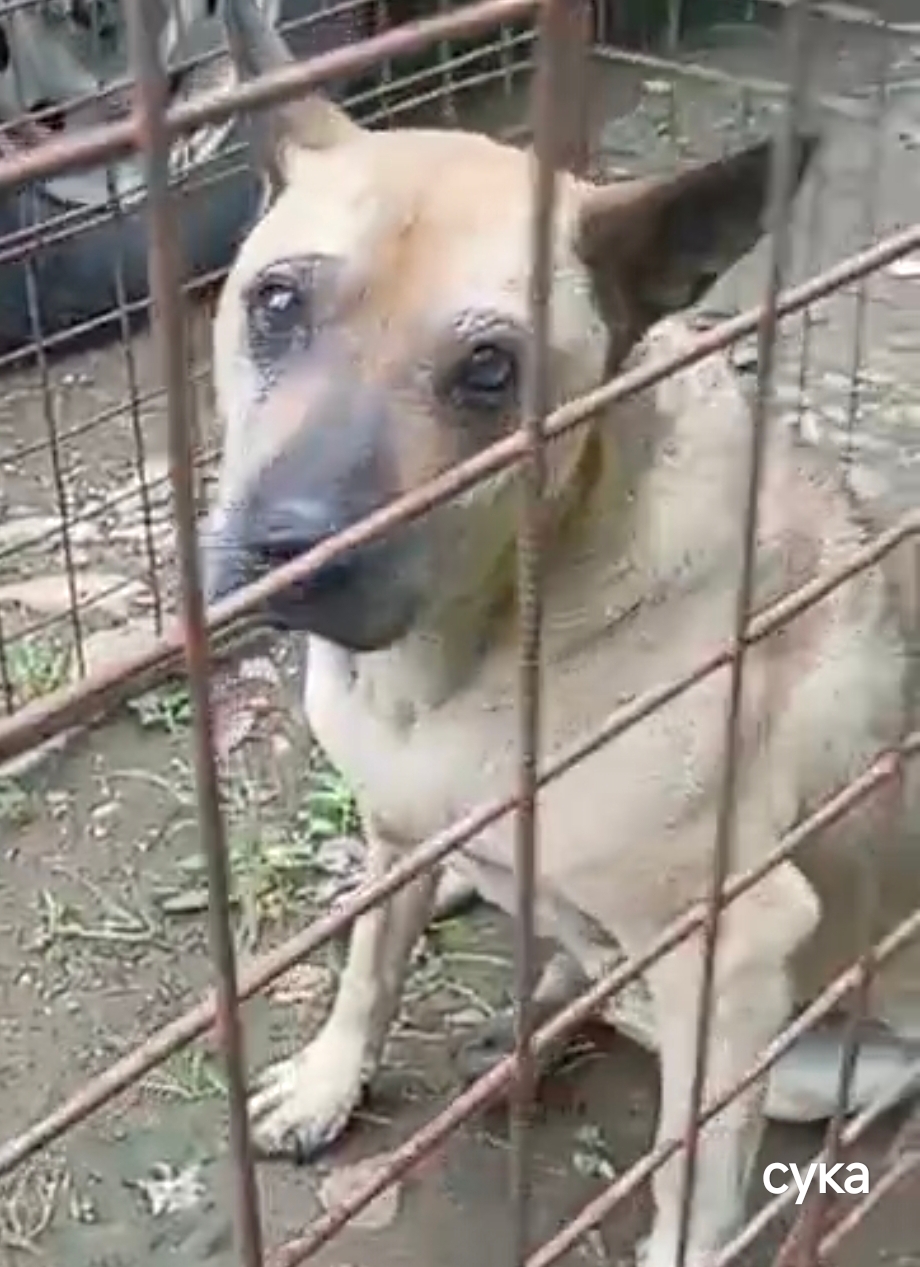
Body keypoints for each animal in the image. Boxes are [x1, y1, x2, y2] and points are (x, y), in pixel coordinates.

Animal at [203, 0, 920, 1261]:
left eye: (490, 369)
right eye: (276, 302)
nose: (291, 548)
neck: (458, 661)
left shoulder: (734, 953)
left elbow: (694, 1158)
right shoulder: (395, 821)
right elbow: (365, 965)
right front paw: (330, 1078)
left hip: (803, 1049)